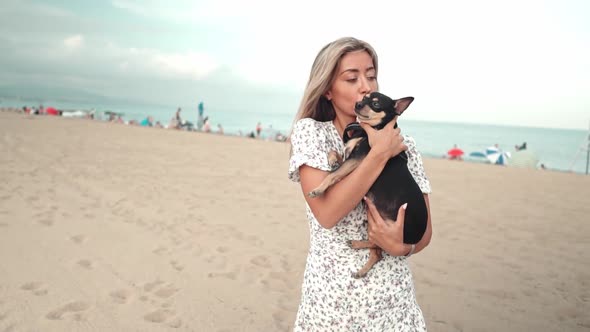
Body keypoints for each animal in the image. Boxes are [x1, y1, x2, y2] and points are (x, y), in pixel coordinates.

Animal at [310, 91, 430, 278]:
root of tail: (416, 236)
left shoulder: (357, 160)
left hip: (389, 230)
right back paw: (360, 258)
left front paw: (319, 188)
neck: (371, 130)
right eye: (364, 98)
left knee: (379, 248)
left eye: (376, 104)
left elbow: (332, 175)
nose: (358, 104)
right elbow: (335, 154)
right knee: (377, 251)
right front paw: (332, 160)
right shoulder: (352, 160)